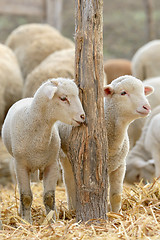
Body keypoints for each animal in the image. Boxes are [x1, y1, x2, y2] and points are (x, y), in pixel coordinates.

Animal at [1, 78, 85, 222]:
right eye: (63, 98)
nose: (82, 116)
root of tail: (27, 98)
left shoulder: (52, 165)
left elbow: (49, 197)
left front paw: (52, 220)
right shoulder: (21, 165)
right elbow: (26, 196)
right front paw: (27, 221)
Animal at [56, 75, 154, 212]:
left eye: (143, 92)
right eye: (123, 93)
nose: (146, 107)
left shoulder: (120, 166)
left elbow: (116, 195)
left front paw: (116, 213)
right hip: (66, 158)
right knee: (69, 183)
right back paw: (72, 209)